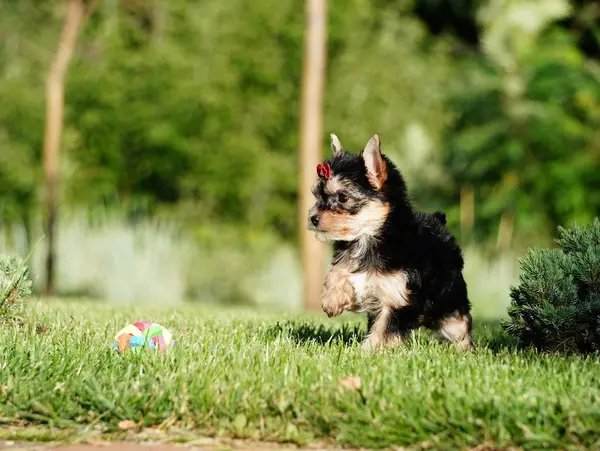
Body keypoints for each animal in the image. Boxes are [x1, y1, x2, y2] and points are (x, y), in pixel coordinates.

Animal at [310, 134, 474, 354]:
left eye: (343, 197)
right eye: (317, 195)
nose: (313, 218)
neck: (368, 236)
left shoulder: (397, 298)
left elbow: (384, 329)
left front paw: (370, 351)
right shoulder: (364, 281)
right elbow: (338, 271)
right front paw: (331, 299)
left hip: (449, 304)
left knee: (459, 325)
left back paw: (466, 349)